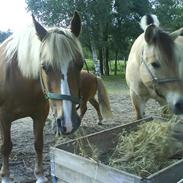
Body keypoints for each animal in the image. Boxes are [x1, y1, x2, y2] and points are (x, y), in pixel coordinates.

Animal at [0, 11, 83, 183]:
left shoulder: (40, 115)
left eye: (80, 64)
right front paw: (5, 176)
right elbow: (6, 146)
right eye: (44, 66)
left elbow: (38, 143)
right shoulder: (4, 117)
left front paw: (39, 175)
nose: (69, 123)